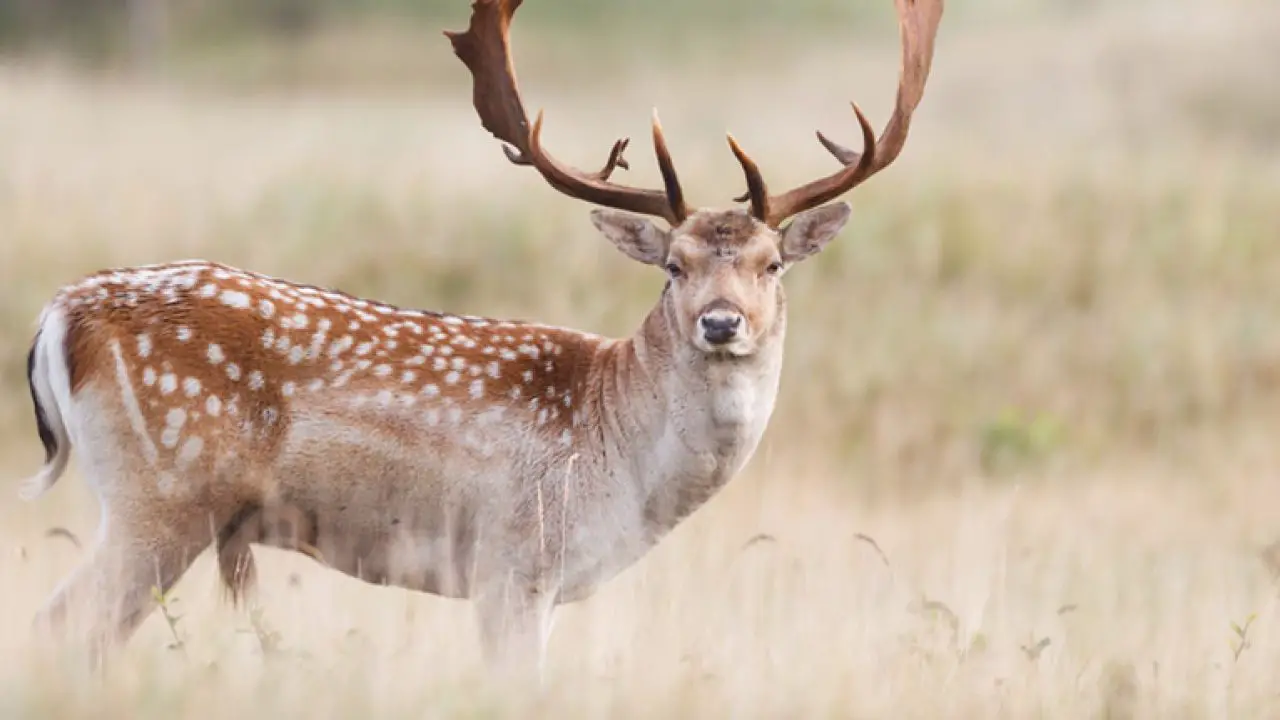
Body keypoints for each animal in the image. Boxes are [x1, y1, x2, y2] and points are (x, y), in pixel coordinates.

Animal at [17, 0, 942, 676]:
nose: (721, 322)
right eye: (673, 267)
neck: (618, 460)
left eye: (772, 263)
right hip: (163, 493)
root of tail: (61, 315)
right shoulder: (511, 565)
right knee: (61, 631)